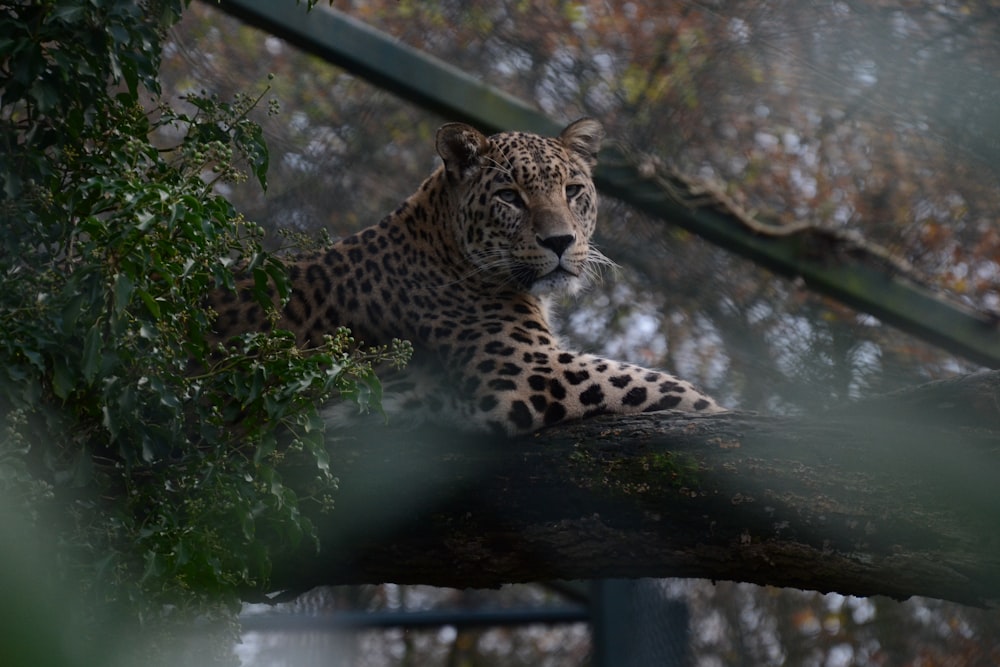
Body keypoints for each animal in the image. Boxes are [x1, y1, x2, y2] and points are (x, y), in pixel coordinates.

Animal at [213, 117, 728, 436]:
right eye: (509, 197)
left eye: (573, 190)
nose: (560, 241)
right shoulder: (529, 370)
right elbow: (658, 385)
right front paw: (725, 413)